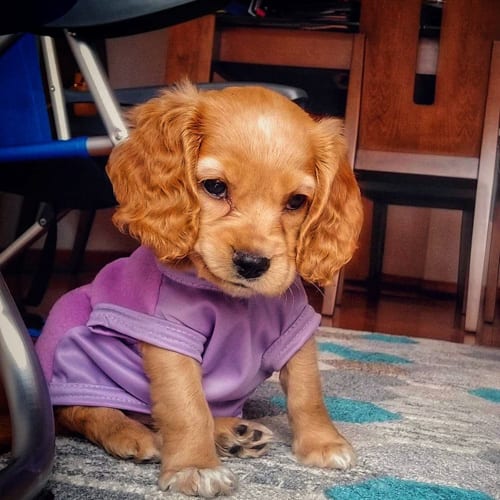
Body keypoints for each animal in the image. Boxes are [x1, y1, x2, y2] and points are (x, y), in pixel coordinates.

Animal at [36, 82, 364, 496]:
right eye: (215, 187)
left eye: (296, 202)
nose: (252, 263)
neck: (233, 301)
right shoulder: (170, 337)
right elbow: (187, 407)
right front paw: (195, 466)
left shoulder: (296, 327)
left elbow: (308, 391)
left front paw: (323, 442)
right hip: (77, 357)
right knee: (79, 411)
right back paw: (130, 434)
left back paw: (232, 432)